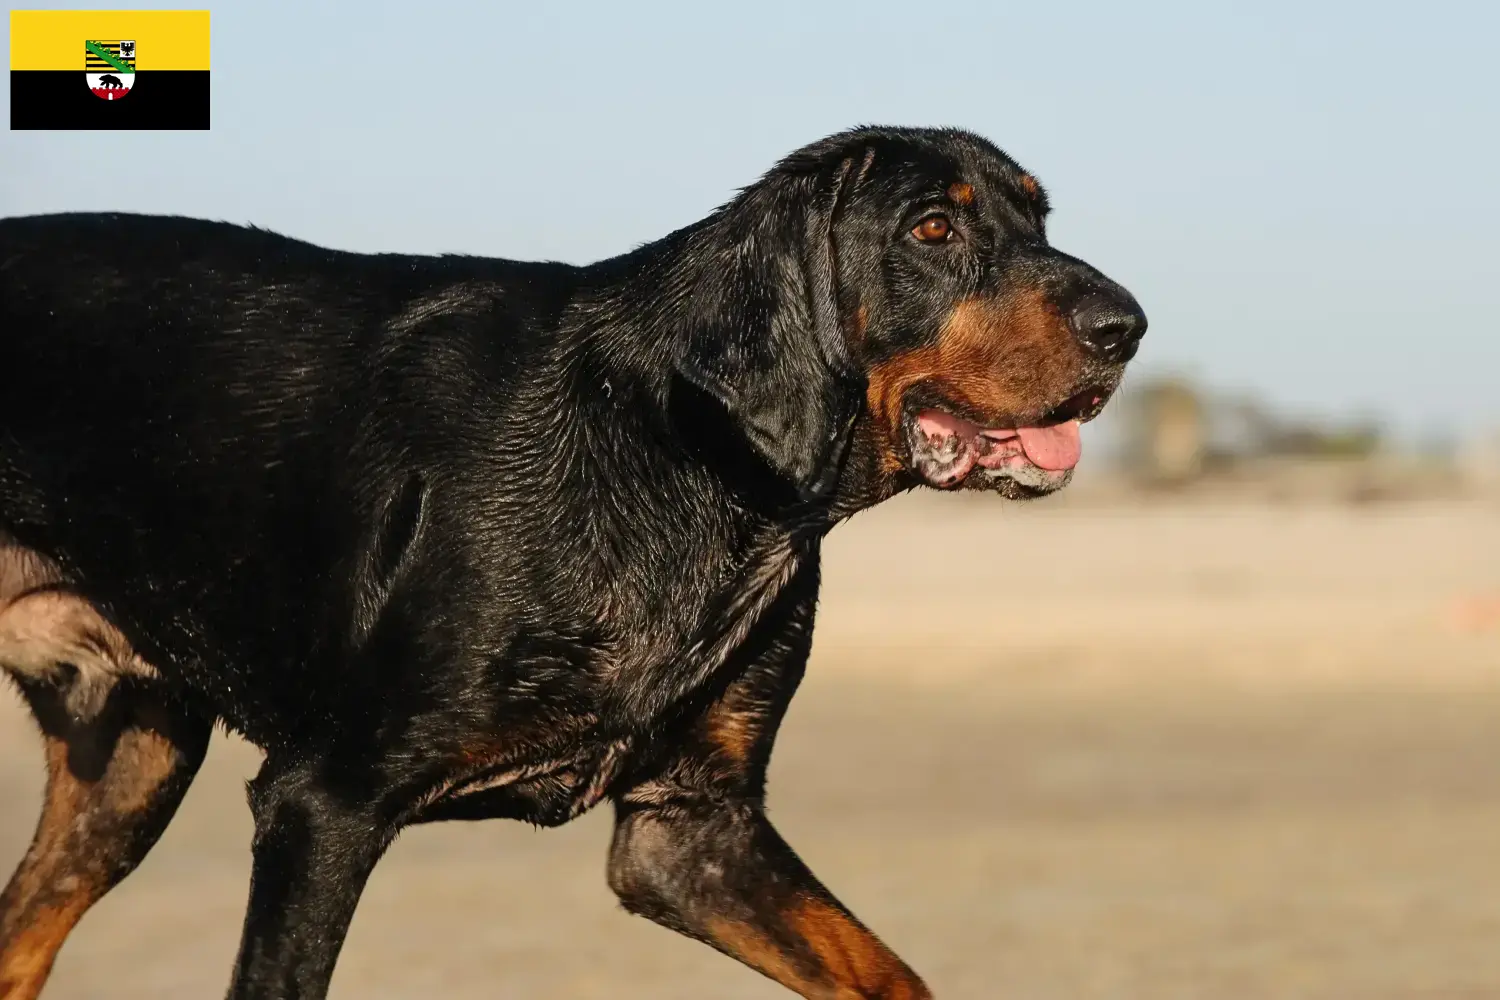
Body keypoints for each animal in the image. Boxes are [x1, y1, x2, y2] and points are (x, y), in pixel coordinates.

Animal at [0, 127, 1146, 1000]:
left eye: (1040, 221)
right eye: (932, 229)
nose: (1127, 328)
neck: (694, 463)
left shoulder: (690, 830)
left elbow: (888, 976)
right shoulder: (321, 803)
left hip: (128, 765)